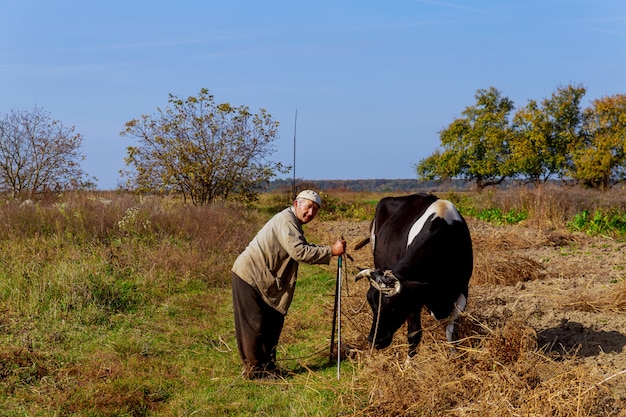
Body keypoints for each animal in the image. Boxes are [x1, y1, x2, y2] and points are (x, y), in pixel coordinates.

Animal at [354, 192, 470, 354]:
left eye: (394, 306)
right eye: (371, 303)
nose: (374, 341)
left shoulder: (463, 289)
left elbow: (451, 330)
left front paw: (453, 354)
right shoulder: (414, 297)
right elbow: (414, 334)